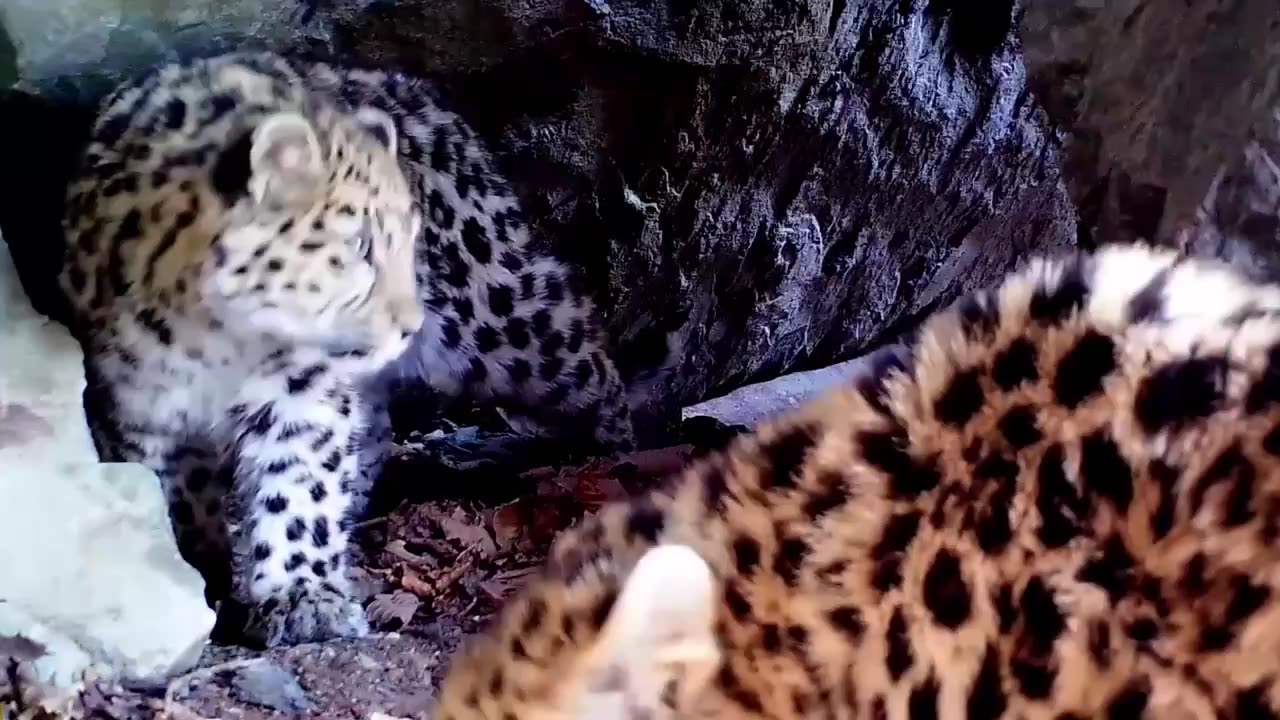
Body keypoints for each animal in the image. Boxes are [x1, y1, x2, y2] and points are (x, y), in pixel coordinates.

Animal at [57, 51, 671, 648]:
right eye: (359, 246)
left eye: (410, 239)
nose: (409, 324)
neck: (221, 337)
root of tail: (402, 83)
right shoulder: (137, 408)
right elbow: (173, 497)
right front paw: (201, 571)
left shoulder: (301, 392)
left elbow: (298, 488)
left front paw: (305, 598)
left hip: (496, 312)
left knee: (578, 338)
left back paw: (617, 451)